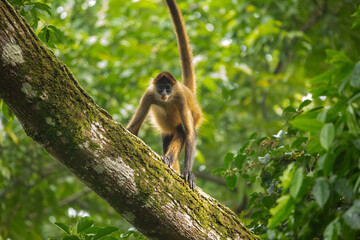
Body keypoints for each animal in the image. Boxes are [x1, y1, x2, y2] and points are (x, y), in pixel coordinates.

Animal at [126, 0, 201, 189]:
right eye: (160, 88)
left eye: (168, 88)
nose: (164, 94)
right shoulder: (149, 94)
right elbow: (133, 129)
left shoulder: (179, 97)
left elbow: (190, 134)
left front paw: (188, 172)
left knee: (182, 131)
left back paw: (169, 159)